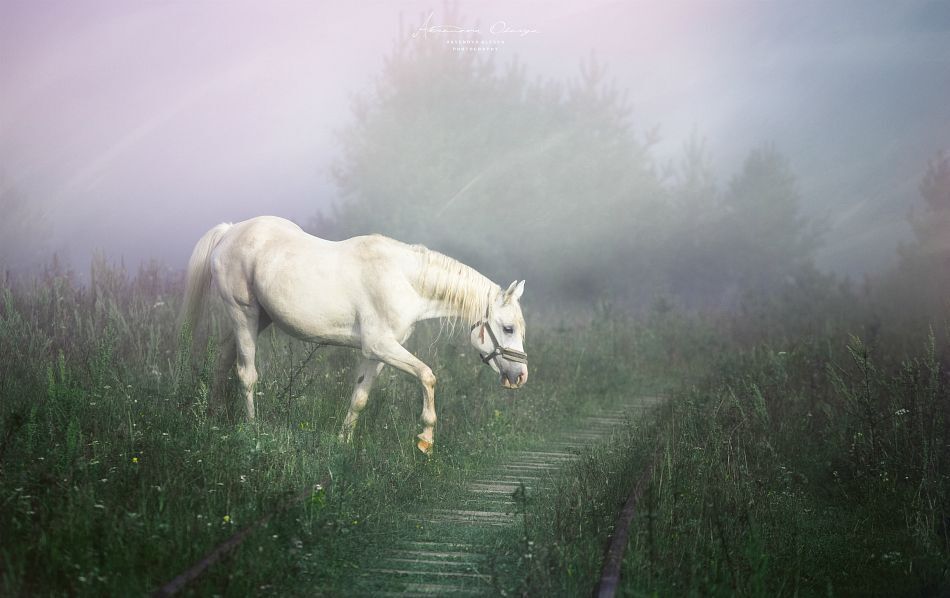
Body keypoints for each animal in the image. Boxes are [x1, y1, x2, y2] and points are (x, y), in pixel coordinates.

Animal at [179, 216, 528, 454]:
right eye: (508, 328)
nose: (520, 376)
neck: (402, 278)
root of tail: (229, 231)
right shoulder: (381, 346)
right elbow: (428, 376)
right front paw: (426, 439)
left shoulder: (379, 353)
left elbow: (360, 395)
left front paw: (344, 441)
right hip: (244, 315)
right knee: (246, 373)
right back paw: (252, 430)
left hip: (258, 319)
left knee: (223, 361)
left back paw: (213, 417)